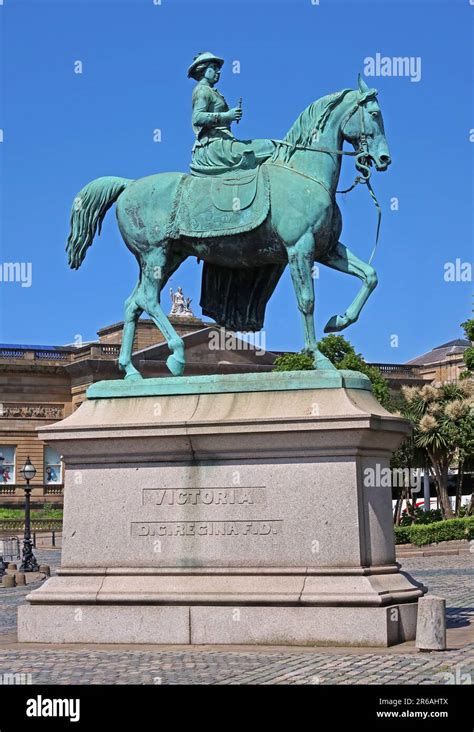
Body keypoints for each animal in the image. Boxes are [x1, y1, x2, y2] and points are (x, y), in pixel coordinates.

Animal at [67, 76, 392, 380]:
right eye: (375, 114)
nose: (384, 159)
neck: (303, 173)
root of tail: (129, 184)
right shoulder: (300, 248)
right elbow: (307, 301)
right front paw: (320, 358)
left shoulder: (326, 249)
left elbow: (371, 276)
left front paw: (339, 321)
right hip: (154, 253)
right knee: (147, 299)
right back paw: (177, 356)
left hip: (168, 256)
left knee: (133, 303)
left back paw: (131, 370)